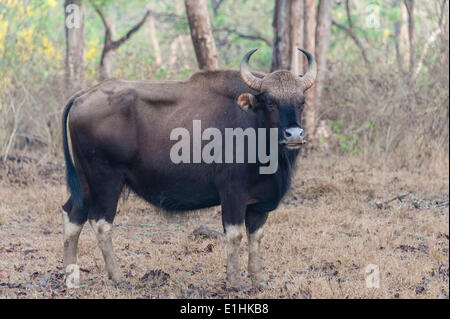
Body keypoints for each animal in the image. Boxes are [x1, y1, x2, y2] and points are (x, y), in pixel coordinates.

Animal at [61, 48, 318, 288]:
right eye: (270, 102)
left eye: (301, 102)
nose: (295, 135)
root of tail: (82, 96)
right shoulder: (232, 192)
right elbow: (234, 235)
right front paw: (234, 281)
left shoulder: (258, 203)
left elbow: (255, 237)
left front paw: (258, 279)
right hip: (106, 180)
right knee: (101, 223)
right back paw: (116, 276)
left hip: (85, 181)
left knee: (73, 214)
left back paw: (71, 276)